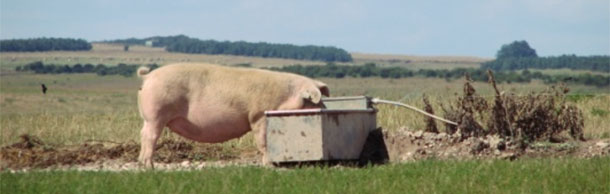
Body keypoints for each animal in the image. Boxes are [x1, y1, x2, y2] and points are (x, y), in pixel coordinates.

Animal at [136, 63, 330, 167]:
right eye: (314, 101)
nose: (325, 108)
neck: (284, 96)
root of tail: (148, 77)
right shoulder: (258, 116)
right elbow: (263, 141)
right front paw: (269, 165)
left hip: (149, 118)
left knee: (143, 134)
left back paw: (142, 163)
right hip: (156, 113)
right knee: (150, 136)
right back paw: (149, 166)